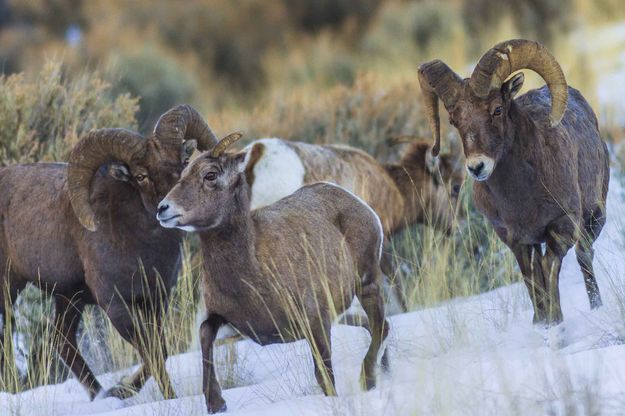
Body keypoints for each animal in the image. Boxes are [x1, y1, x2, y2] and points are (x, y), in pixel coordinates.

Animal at [0, 105, 219, 400]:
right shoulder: (115, 306)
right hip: (10, 289)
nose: (169, 206)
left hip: (69, 298)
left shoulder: (154, 301)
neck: (142, 249)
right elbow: (151, 353)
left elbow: (159, 351)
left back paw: (101, 394)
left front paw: (123, 389)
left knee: (61, 339)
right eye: (140, 176)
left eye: (183, 164)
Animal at [157, 133, 390, 412]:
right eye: (183, 174)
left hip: (367, 285)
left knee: (380, 327)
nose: (163, 209)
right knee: (375, 327)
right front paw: (216, 403)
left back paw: (368, 378)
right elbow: (205, 333)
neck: (253, 266)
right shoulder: (226, 319)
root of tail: (356, 202)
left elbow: (324, 376)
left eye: (210, 175)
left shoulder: (316, 323)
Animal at [416, 39, 608, 324]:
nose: (477, 167)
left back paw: (597, 307)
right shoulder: (517, 241)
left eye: (497, 109)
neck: (521, 197)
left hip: (595, 217)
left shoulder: (562, 227)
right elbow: (532, 279)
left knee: (584, 255)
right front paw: (542, 323)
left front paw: (556, 321)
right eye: (454, 119)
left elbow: (548, 270)